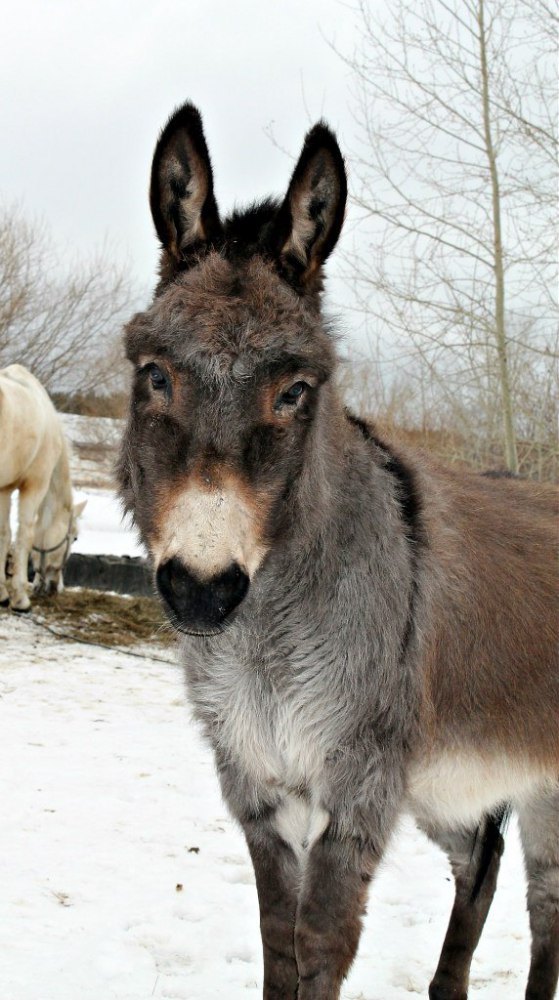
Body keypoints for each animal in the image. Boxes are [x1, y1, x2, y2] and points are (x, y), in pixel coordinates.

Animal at [0, 366, 86, 608]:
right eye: (74, 537)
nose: (55, 586)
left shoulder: (5, 487)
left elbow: (4, 533)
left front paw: (2, 592)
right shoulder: (35, 485)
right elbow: (25, 535)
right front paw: (20, 597)